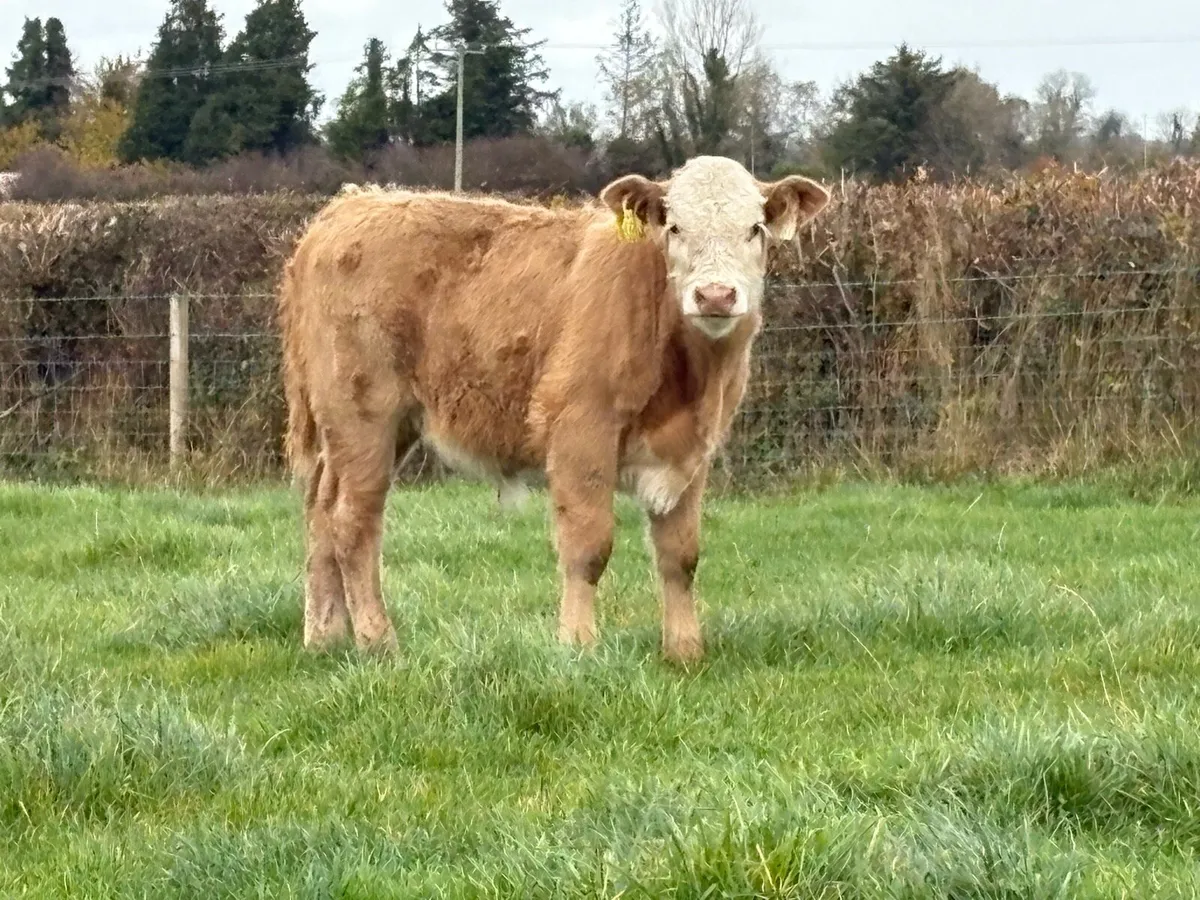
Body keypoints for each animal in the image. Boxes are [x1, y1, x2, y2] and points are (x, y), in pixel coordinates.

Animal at [278, 155, 831, 664]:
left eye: (755, 229)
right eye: (675, 227)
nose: (715, 295)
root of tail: (347, 207)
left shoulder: (693, 453)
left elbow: (681, 555)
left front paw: (685, 651)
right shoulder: (581, 432)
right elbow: (588, 546)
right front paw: (578, 645)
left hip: (372, 429)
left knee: (321, 512)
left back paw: (325, 638)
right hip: (363, 415)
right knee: (353, 519)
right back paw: (378, 641)